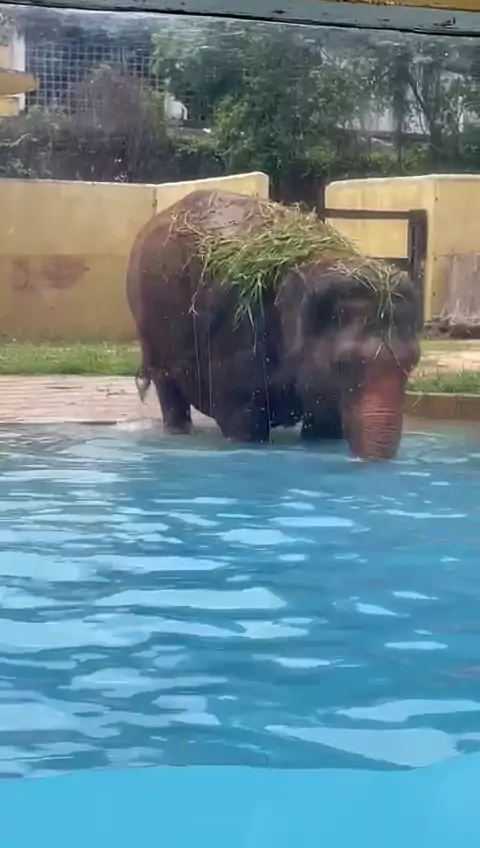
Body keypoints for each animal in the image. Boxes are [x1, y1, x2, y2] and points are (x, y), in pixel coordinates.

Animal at [126, 189, 420, 460]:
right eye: (343, 364)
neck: (315, 260)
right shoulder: (238, 334)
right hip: (151, 326)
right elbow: (243, 422)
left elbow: (324, 426)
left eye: (411, 363)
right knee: (168, 388)